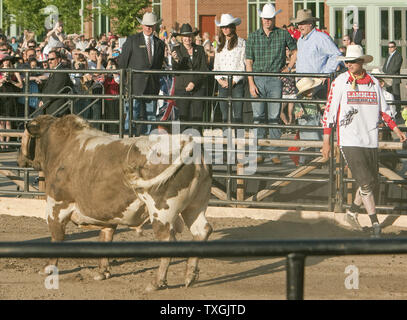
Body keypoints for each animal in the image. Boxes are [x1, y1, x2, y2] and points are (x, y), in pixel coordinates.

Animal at [16, 114, 214, 290]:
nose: (19, 157)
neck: (61, 148)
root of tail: (186, 143)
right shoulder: (106, 214)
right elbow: (105, 238)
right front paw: (102, 272)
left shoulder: (56, 206)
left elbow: (57, 237)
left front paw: (48, 269)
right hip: (194, 207)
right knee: (202, 231)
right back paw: (190, 276)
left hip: (161, 211)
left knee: (168, 240)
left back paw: (157, 282)